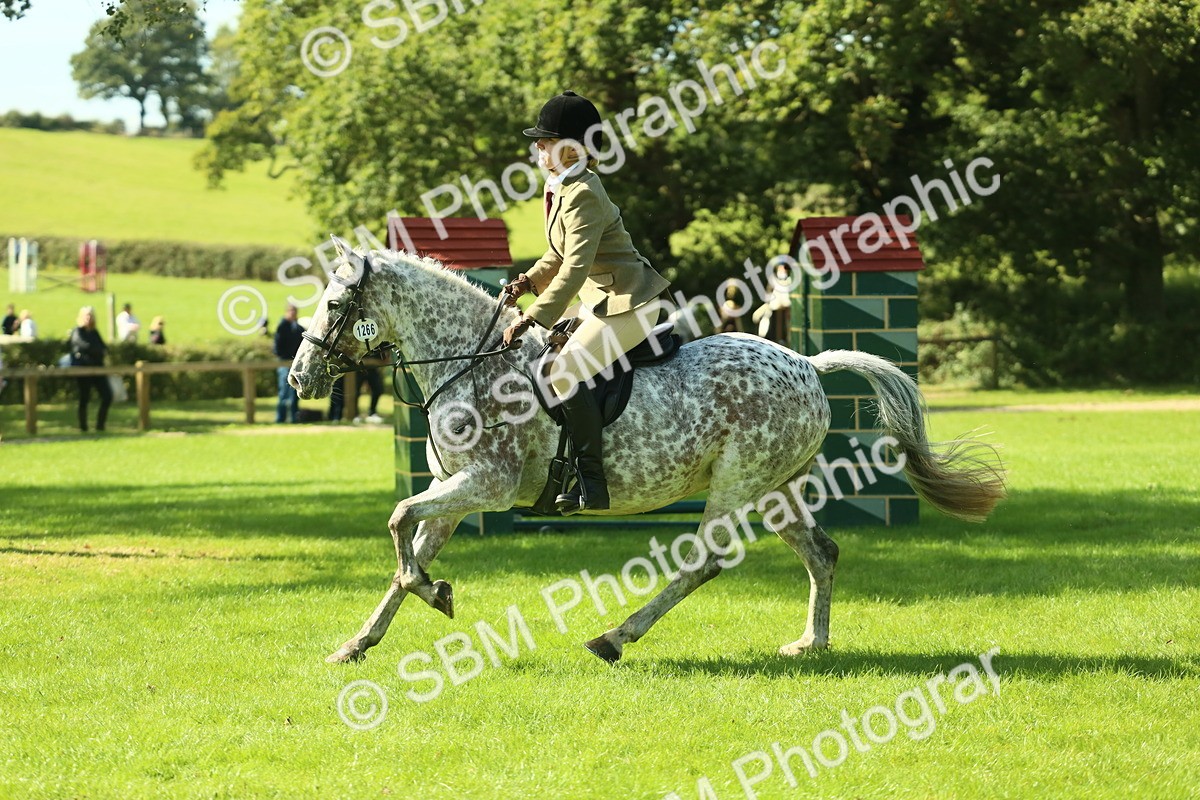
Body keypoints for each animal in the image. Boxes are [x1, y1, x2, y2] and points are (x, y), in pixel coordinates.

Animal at [288, 239, 1006, 665]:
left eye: (334, 302)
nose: (300, 379)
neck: (470, 361)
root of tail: (806, 362)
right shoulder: (456, 493)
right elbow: (405, 550)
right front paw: (360, 641)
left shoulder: (487, 485)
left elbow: (398, 521)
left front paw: (434, 593)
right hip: (775, 489)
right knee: (821, 553)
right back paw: (812, 643)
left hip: (736, 483)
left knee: (705, 561)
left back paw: (615, 637)